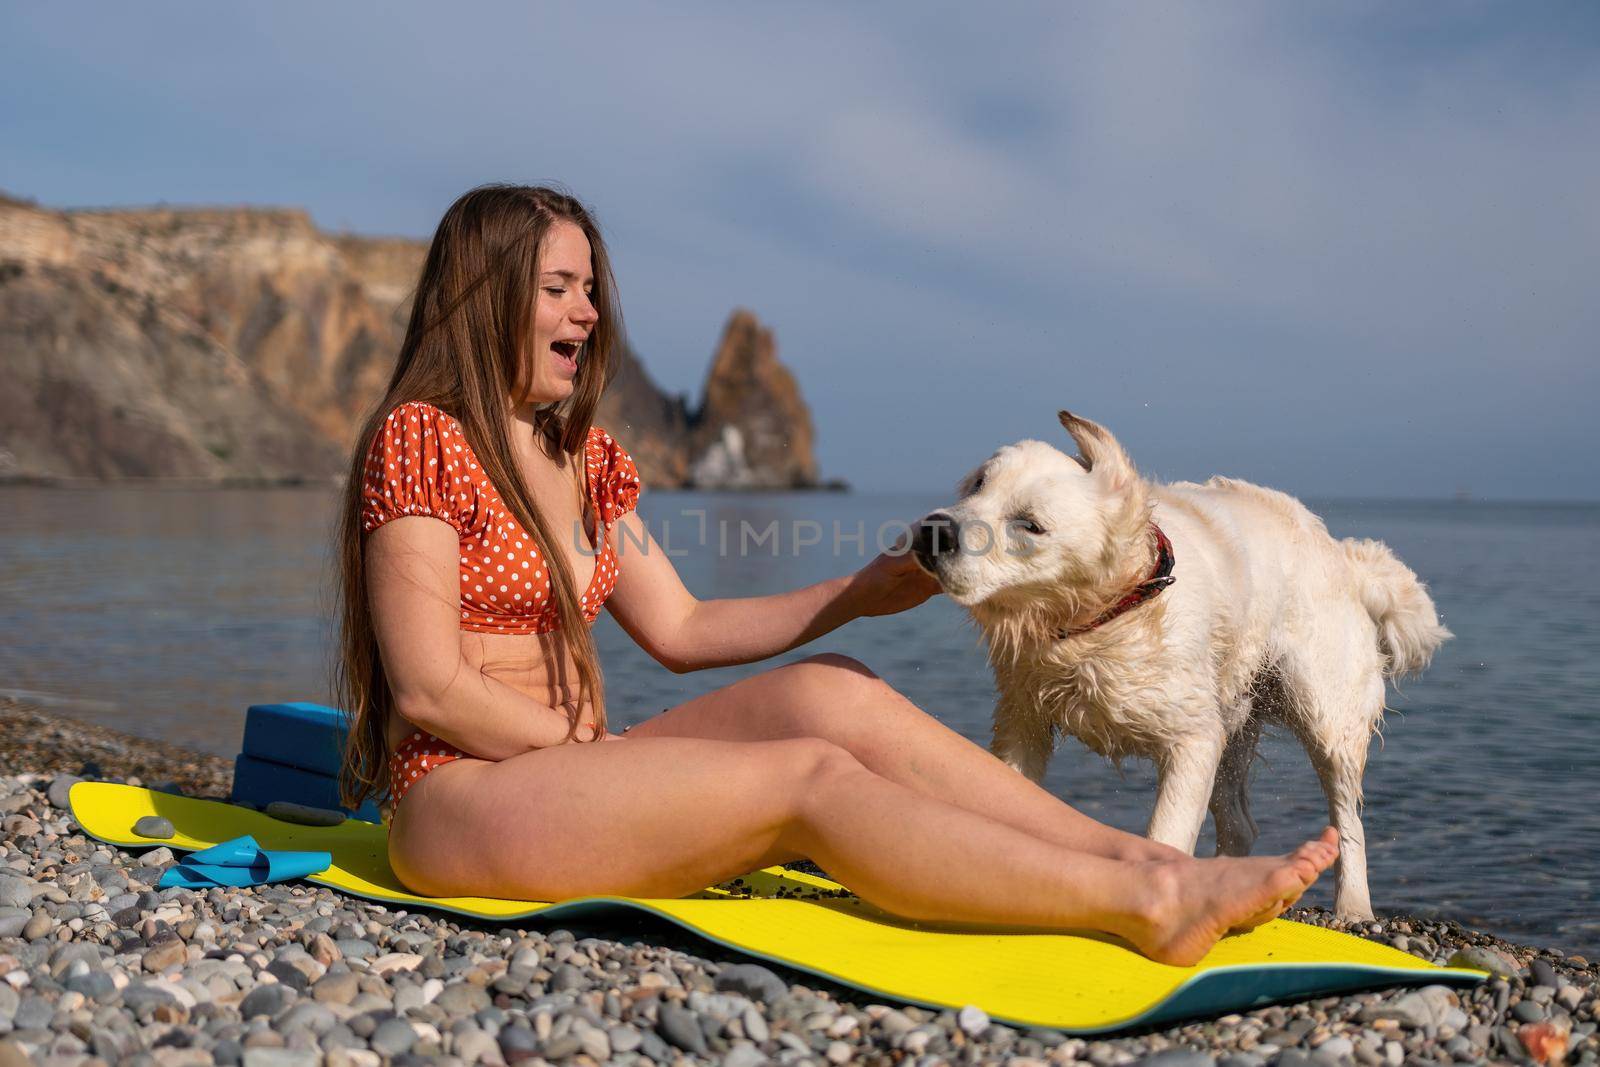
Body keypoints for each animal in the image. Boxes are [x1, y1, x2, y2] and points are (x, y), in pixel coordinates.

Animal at [915, 412, 1452, 921]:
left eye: (1030, 525)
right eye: (979, 484)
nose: (934, 531)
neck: (1107, 615)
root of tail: (1342, 554)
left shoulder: (1192, 739)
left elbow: (1165, 836)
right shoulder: (1022, 718)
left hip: (1322, 710)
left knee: (1347, 821)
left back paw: (1353, 907)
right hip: (1234, 721)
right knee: (1240, 825)